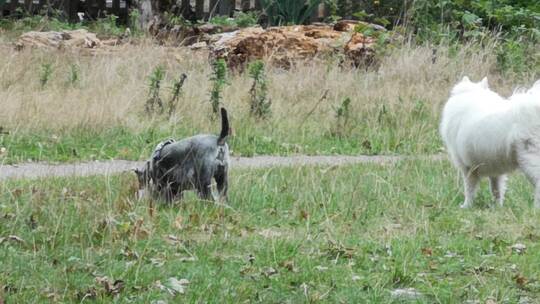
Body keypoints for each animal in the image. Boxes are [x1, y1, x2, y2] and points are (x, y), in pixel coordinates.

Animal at [442, 77, 540, 208]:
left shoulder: (467, 168)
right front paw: (498, 207)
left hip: (529, 159)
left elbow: (469, 189)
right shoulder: (495, 169)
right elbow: (496, 189)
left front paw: (466, 206)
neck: (471, 93)